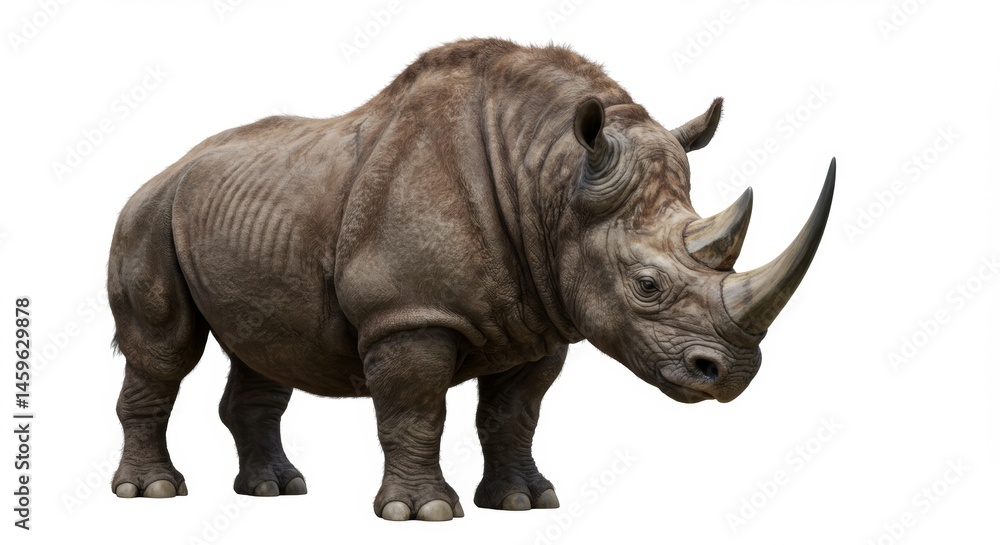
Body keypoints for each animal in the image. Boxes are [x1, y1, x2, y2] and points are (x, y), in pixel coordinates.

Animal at [107, 37, 834, 521]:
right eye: (647, 285)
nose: (732, 374)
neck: (551, 178)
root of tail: (164, 169)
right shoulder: (410, 314)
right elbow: (417, 409)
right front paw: (422, 512)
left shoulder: (542, 318)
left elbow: (514, 414)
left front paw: (524, 501)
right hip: (147, 215)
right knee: (165, 351)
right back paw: (155, 494)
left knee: (263, 346)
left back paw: (275, 491)